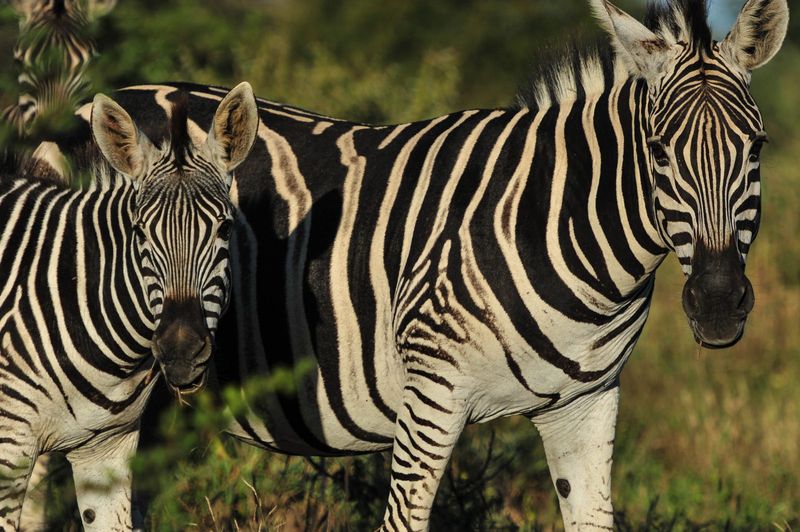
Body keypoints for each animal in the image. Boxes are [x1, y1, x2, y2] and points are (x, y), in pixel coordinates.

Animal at [27, 0, 788, 529]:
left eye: (756, 147)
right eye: (658, 151)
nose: (718, 305)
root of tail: (81, 104)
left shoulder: (587, 404)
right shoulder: (432, 394)